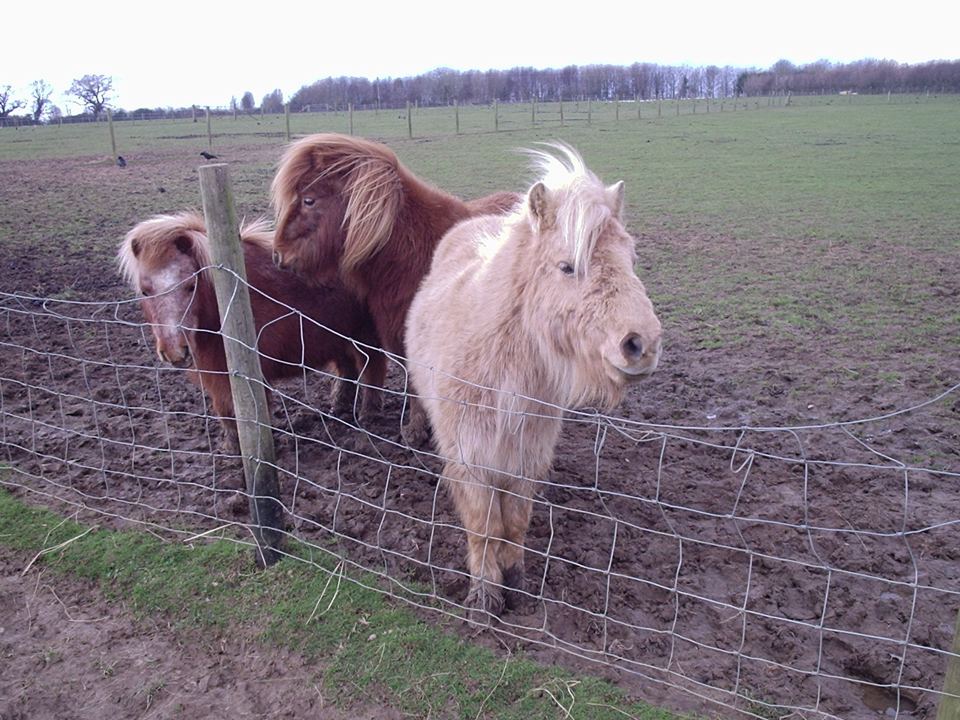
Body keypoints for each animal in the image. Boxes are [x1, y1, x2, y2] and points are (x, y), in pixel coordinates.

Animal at [118, 211, 387, 452]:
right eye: (144, 291)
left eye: (191, 286)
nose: (174, 351)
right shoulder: (214, 371)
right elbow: (224, 409)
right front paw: (231, 447)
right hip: (338, 334)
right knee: (347, 369)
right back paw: (339, 408)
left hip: (364, 334)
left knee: (372, 368)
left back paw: (368, 414)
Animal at [404, 143, 662, 617]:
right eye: (567, 267)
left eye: (631, 259)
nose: (642, 344)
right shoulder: (472, 460)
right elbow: (484, 524)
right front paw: (485, 596)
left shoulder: (526, 458)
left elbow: (515, 522)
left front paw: (516, 582)